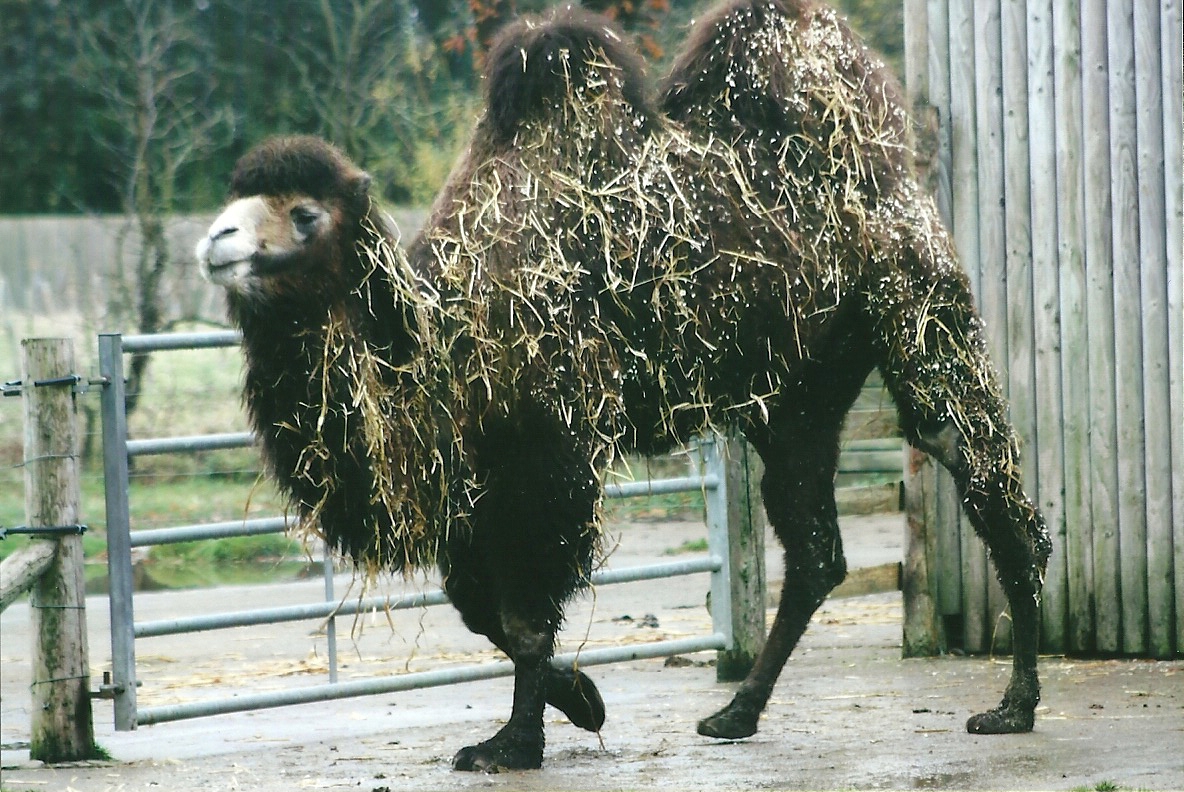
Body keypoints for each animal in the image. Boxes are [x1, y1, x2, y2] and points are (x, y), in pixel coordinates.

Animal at [197, 0, 1051, 771]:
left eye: (305, 215)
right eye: (238, 200)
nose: (214, 241)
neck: (457, 333)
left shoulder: (551, 456)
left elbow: (524, 616)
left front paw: (513, 744)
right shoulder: (481, 478)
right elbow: (480, 612)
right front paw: (582, 699)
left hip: (919, 309)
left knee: (985, 480)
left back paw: (1014, 706)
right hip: (798, 397)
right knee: (816, 551)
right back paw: (736, 713)